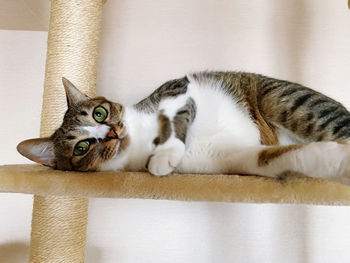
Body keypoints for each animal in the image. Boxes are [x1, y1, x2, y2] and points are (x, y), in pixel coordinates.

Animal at [17, 71, 350, 187]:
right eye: (82, 147)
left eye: (99, 113)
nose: (111, 133)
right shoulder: (229, 157)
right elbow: (273, 158)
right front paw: (332, 162)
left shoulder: (180, 90)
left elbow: (176, 123)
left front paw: (163, 156)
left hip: (284, 101)